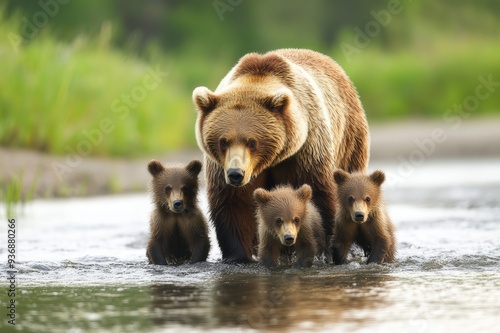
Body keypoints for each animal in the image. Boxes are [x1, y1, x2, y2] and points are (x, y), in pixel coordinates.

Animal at [193, 48, 370, 262]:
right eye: (223, 141)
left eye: (252, 142)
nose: (236, 174)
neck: (270, 161)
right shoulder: (221, 167)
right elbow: (234, 205)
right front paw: (239, 256)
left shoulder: (305, 152)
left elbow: (317, 197)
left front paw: (323, 251)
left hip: (349, 138)